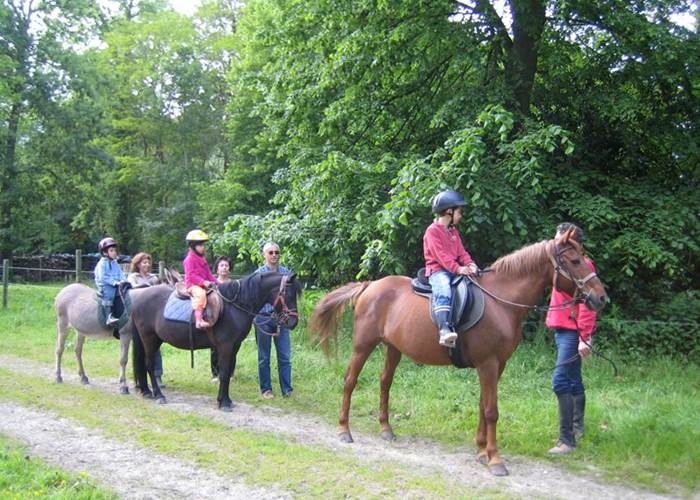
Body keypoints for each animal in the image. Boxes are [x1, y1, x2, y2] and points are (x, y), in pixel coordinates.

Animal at [130, 272, 301, 411]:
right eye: (289, 295)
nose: (293, 323)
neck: (235, 306)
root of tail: (138, 295)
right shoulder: (225, 346)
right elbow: (224, 373)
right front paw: (224, 403)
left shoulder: (234, 347)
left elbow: (227, 372)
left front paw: (225, 400)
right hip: (149, 339)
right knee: (149, 365)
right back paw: (159, 395)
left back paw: (146, 391)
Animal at [309, 229, 608, 476]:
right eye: (575, 261)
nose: (602, 298)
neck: (501, 302)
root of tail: (370, 285)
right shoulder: (488, 364)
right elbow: (491, 410)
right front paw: (495, 459)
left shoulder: (497, 365)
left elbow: (483, 406)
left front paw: (482, 450)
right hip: (363, 345)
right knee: (350, 381)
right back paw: (344, 430)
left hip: (393, 348)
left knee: (385, 383)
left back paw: (386, 429)